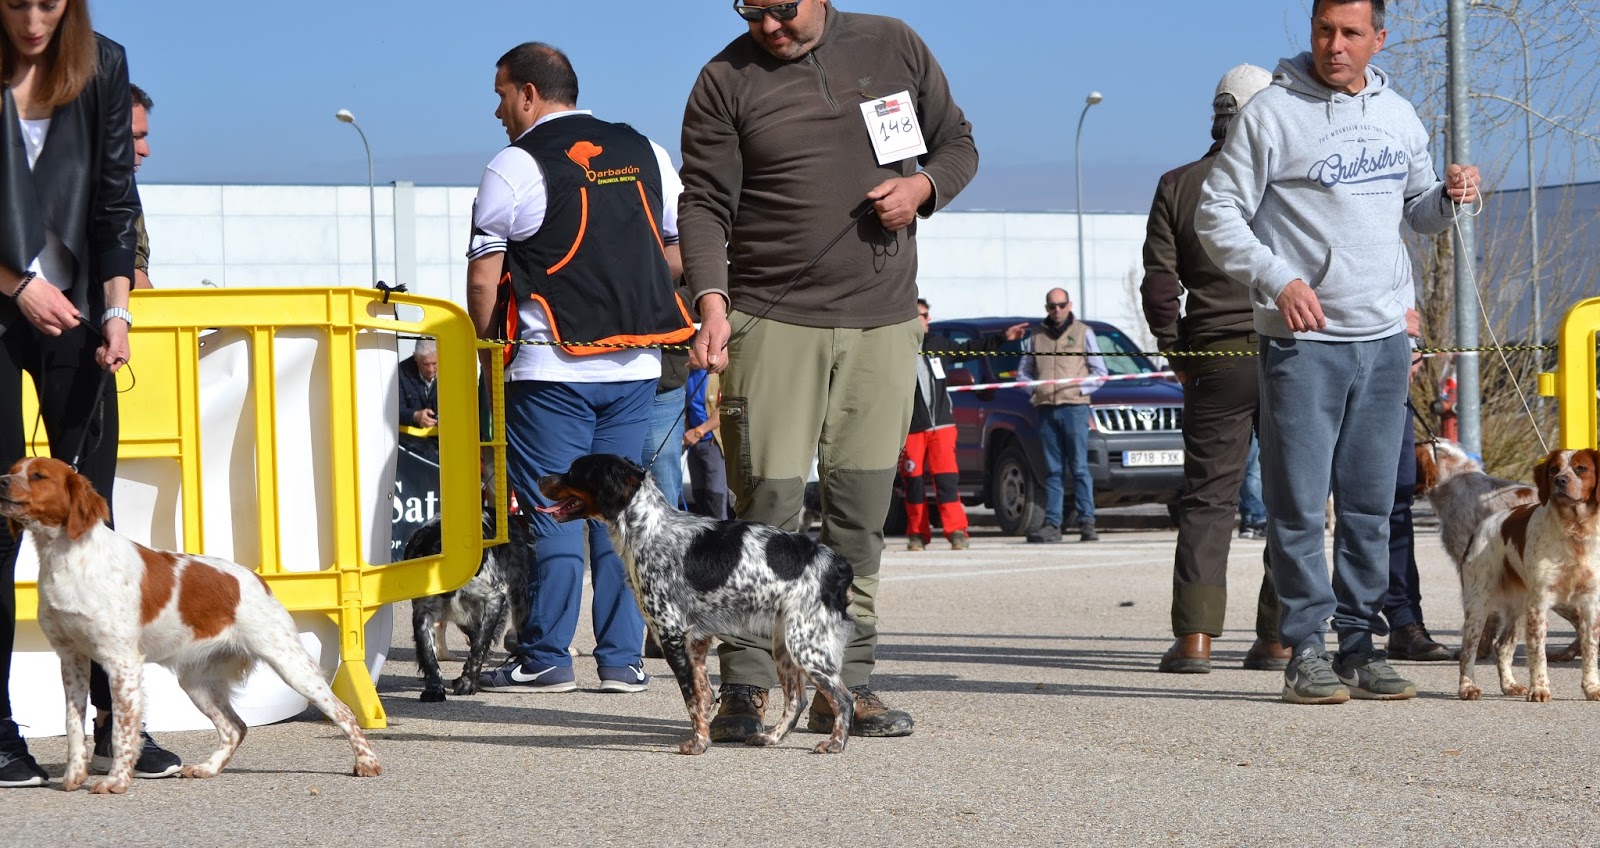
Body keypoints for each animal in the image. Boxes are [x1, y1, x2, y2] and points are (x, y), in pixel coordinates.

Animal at [0, 457, 381, 793]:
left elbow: (123, 730)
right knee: (235, 727)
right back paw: (208, 768)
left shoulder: (121, 662)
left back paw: (367, 762)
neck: (66, 556)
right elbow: (73, 724)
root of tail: (257, 580)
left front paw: (115, 782)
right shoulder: (72, 659)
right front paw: (73, 776)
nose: (1, 481)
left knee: (343, 711)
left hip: (291, 664)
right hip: (196, 680)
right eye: (14, 468)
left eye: (37, 475)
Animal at [403, 507, 530, 702]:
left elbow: (480, 645)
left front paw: (468, 682)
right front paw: (434, 688)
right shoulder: (422, 611)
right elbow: (428, 652)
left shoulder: (494, 598)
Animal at [535, 453, 855, 755]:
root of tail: (835, 563)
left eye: (573, 471)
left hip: (806, 646)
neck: (649, 530)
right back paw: (771, 737)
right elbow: (702, 695)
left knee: (844, 698)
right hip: (786, 645)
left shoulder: (672, 634)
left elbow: (691, 698)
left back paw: (835, 742)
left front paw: (698, 744)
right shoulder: (697, 641)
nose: (540, 478)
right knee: (796, 699)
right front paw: (705, 738)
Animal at [1456, 448, 1600, 702]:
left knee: (1502, 646)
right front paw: (1540, 689)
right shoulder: (1540, 602)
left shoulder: (1590, 602)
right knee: (1468, 651)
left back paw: (1509, 686)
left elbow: (1590, 651)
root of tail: (1481, 527)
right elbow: (1537, 652)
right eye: (1553, 469)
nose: (1560, 481)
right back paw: (1468, 687)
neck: (1574, 531)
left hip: (1520, 607)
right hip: (1478, 604)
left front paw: (1592, 688)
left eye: (1581, 468)